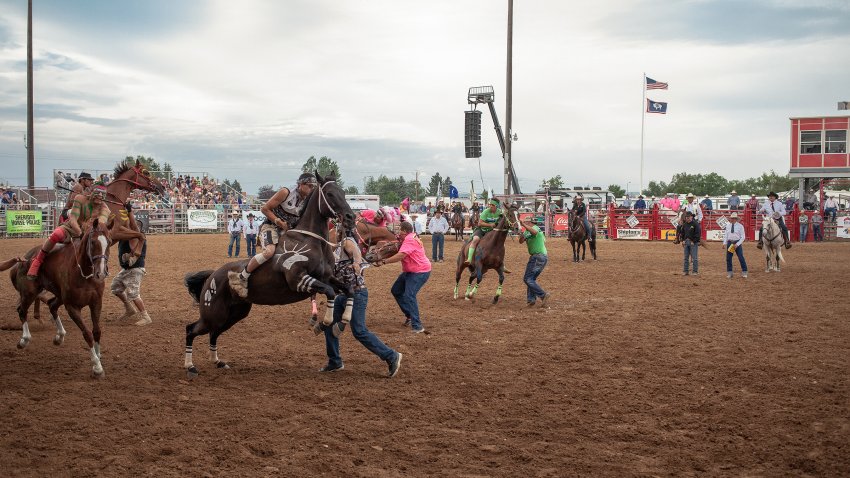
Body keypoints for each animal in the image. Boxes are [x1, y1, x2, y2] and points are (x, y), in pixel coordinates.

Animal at [1, 220, 112, 378]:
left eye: (109, 242)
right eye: (93, 242)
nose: (101, 273)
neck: (82, 273)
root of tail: (23, 260)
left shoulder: (96, 302)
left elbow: (97, 331)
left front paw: (98, 355)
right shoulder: (72, 307)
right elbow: (87, 334)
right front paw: (97, 367)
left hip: (58, 295)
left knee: (51, 305)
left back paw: (60, 336)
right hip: (30, 293)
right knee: (22, 311)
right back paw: (24, 340)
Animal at [182, 174, 354, 380]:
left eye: (343, 192)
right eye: (329, 193)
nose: (351, 217)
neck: (311, 241)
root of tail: (211, 276)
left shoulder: (327, 278)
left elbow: (349, 289)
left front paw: (341, 323)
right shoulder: (299, 280)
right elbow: (329, 293)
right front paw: (324, 323)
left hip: (234, 314)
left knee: (213, 333)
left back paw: (217, 361)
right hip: (213, 314)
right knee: (191, 330)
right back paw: (190, 366)